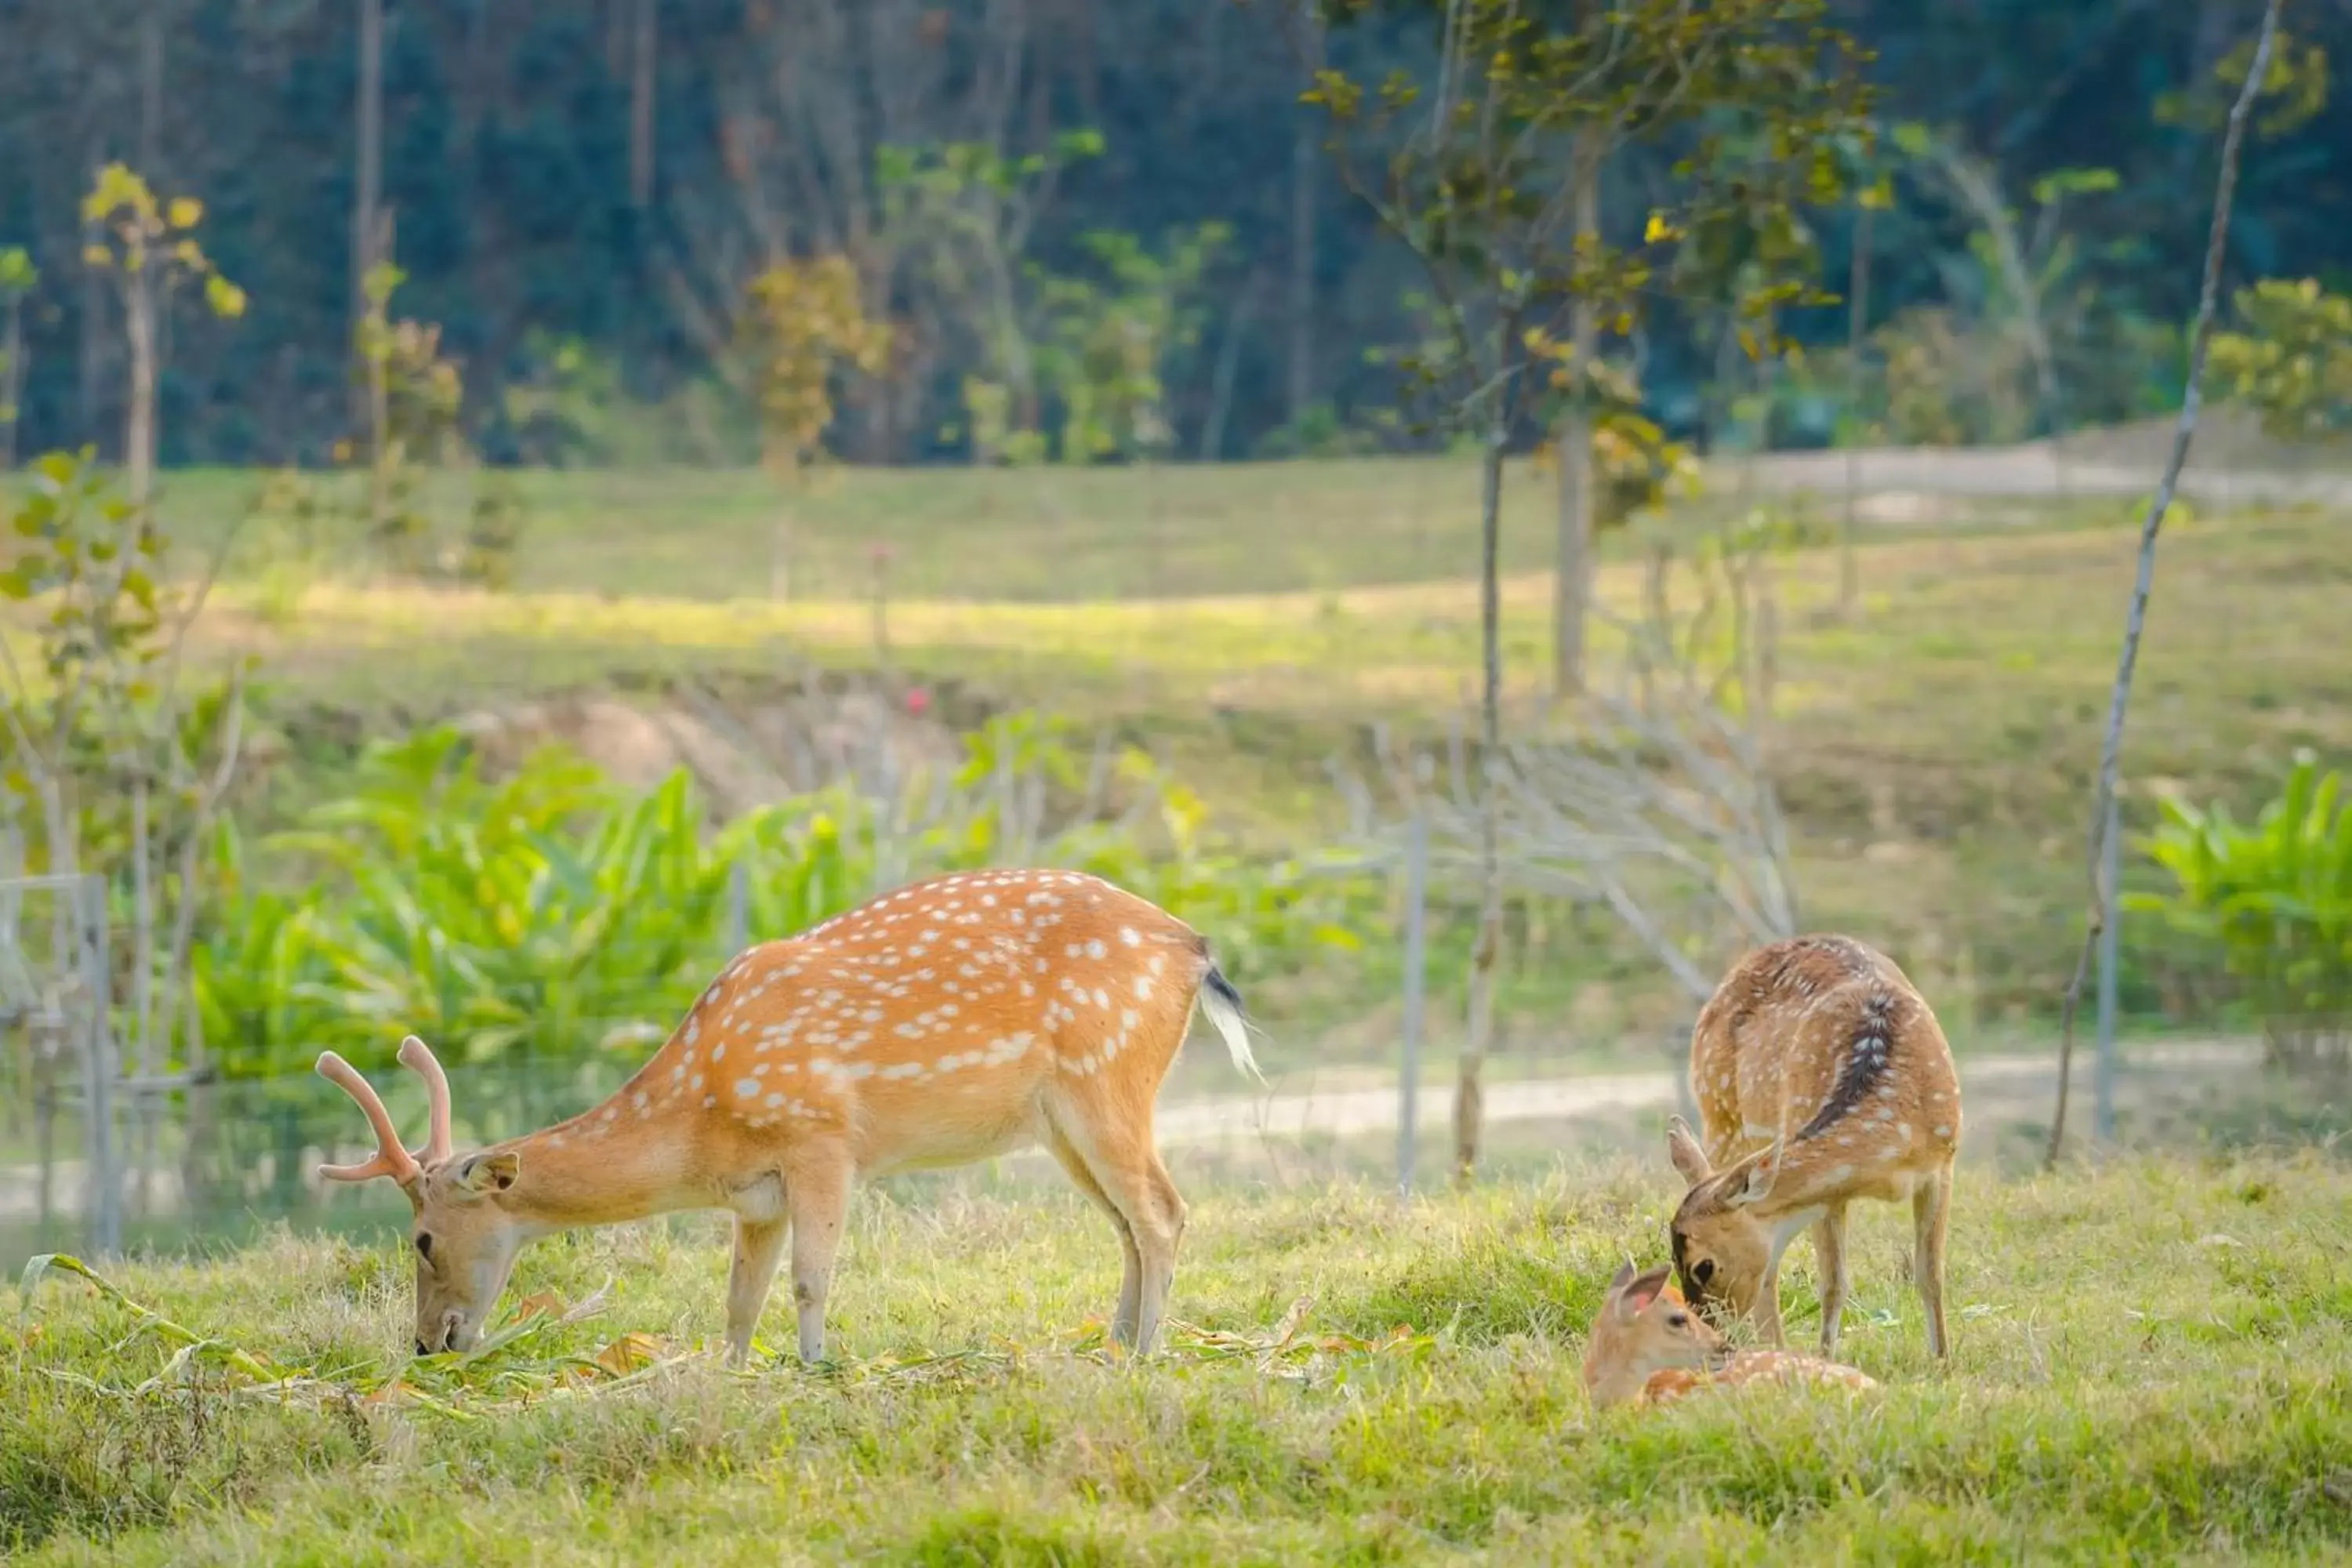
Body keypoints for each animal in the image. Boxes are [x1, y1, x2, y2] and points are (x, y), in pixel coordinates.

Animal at [320, 865, 1270, 1363]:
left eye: (422, 1238)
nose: (427, 1342)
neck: (701, 1120)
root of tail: (1196, 952)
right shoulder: (756, 1193)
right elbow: (738, 1300)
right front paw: (734, 1373)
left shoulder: (822, 1139)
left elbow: (813, 1276)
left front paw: (818, 1367)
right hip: (1062, 1119)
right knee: (1128, 1222)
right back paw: (1112, 1342)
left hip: (1107, 1079)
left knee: (1163, 1210)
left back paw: (1147, 1353)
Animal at [1656, 931, 1966, 1363]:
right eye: (1672, 1259)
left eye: (1704, 1265)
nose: (1708, 1331)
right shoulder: (1829, 1192)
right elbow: (1833, 1284)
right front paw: (1825, 1360)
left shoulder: (1942, 1164)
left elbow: (1931, 1274)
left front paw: (1943, 1361)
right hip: (1720, 1114)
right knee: (1770, 1275)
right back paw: (1775, 1349)